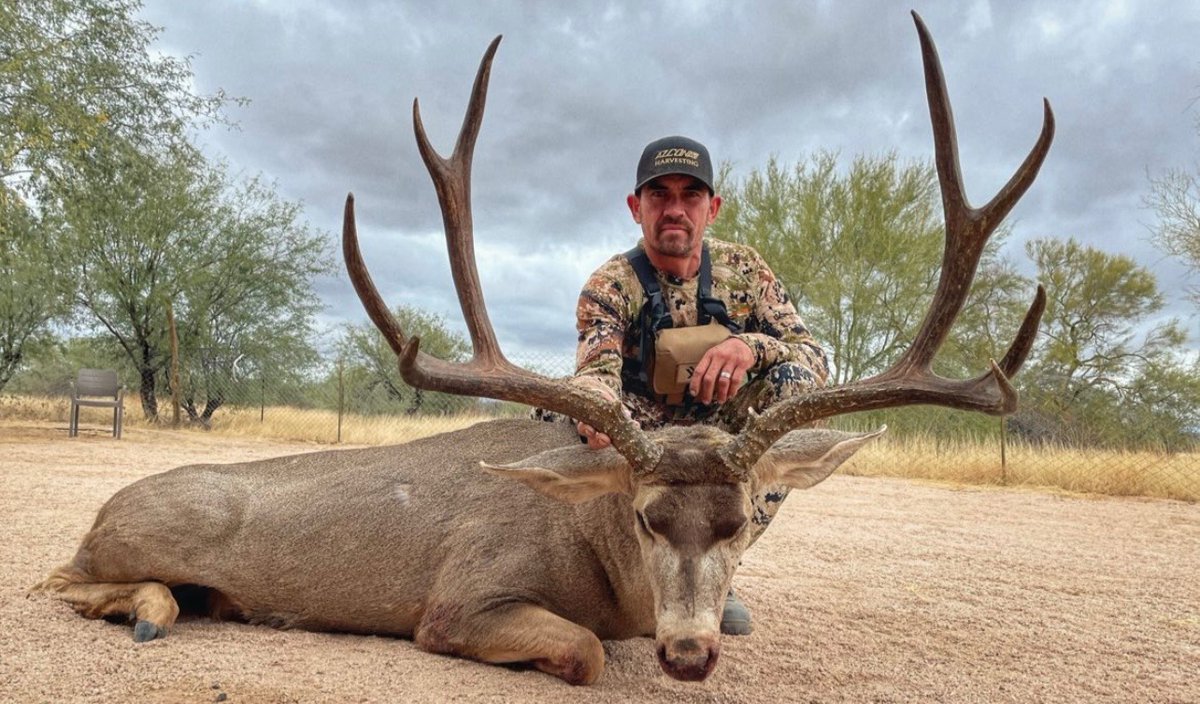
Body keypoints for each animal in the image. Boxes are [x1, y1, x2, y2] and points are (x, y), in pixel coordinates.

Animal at [34, 13, 1052, 685]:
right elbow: (587, 650)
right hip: (129, 538)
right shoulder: (460, 598)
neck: (592, 550)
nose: (690, 653)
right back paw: (158, 610)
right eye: (646, 517)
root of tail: (106, 509)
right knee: (62, 576)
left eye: (744, 520)